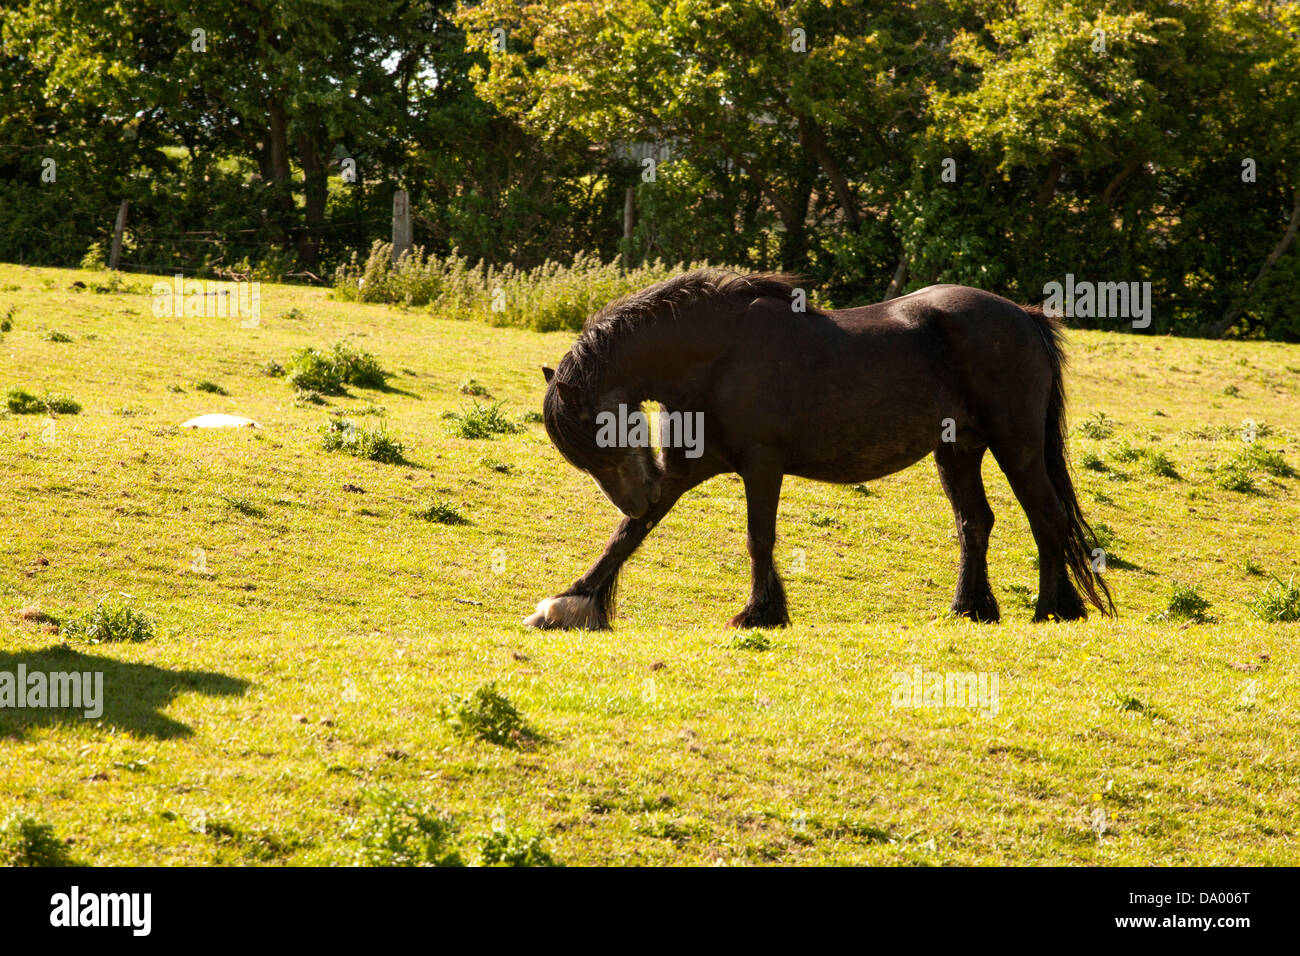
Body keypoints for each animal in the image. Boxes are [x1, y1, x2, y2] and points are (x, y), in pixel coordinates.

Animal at [522, 269, 1112, 632]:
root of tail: (1024, 315)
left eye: (603, 437)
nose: (635, 496)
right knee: (976, 523)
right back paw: (969, 609)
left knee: (1046, 516)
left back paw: (1052, 609)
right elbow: (628, 536)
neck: (720, 356)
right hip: (959, 452)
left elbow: (758, 539)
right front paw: (568, 604)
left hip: (1017, 445)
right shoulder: (682, 470)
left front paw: (759, 613)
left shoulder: (761, 466)